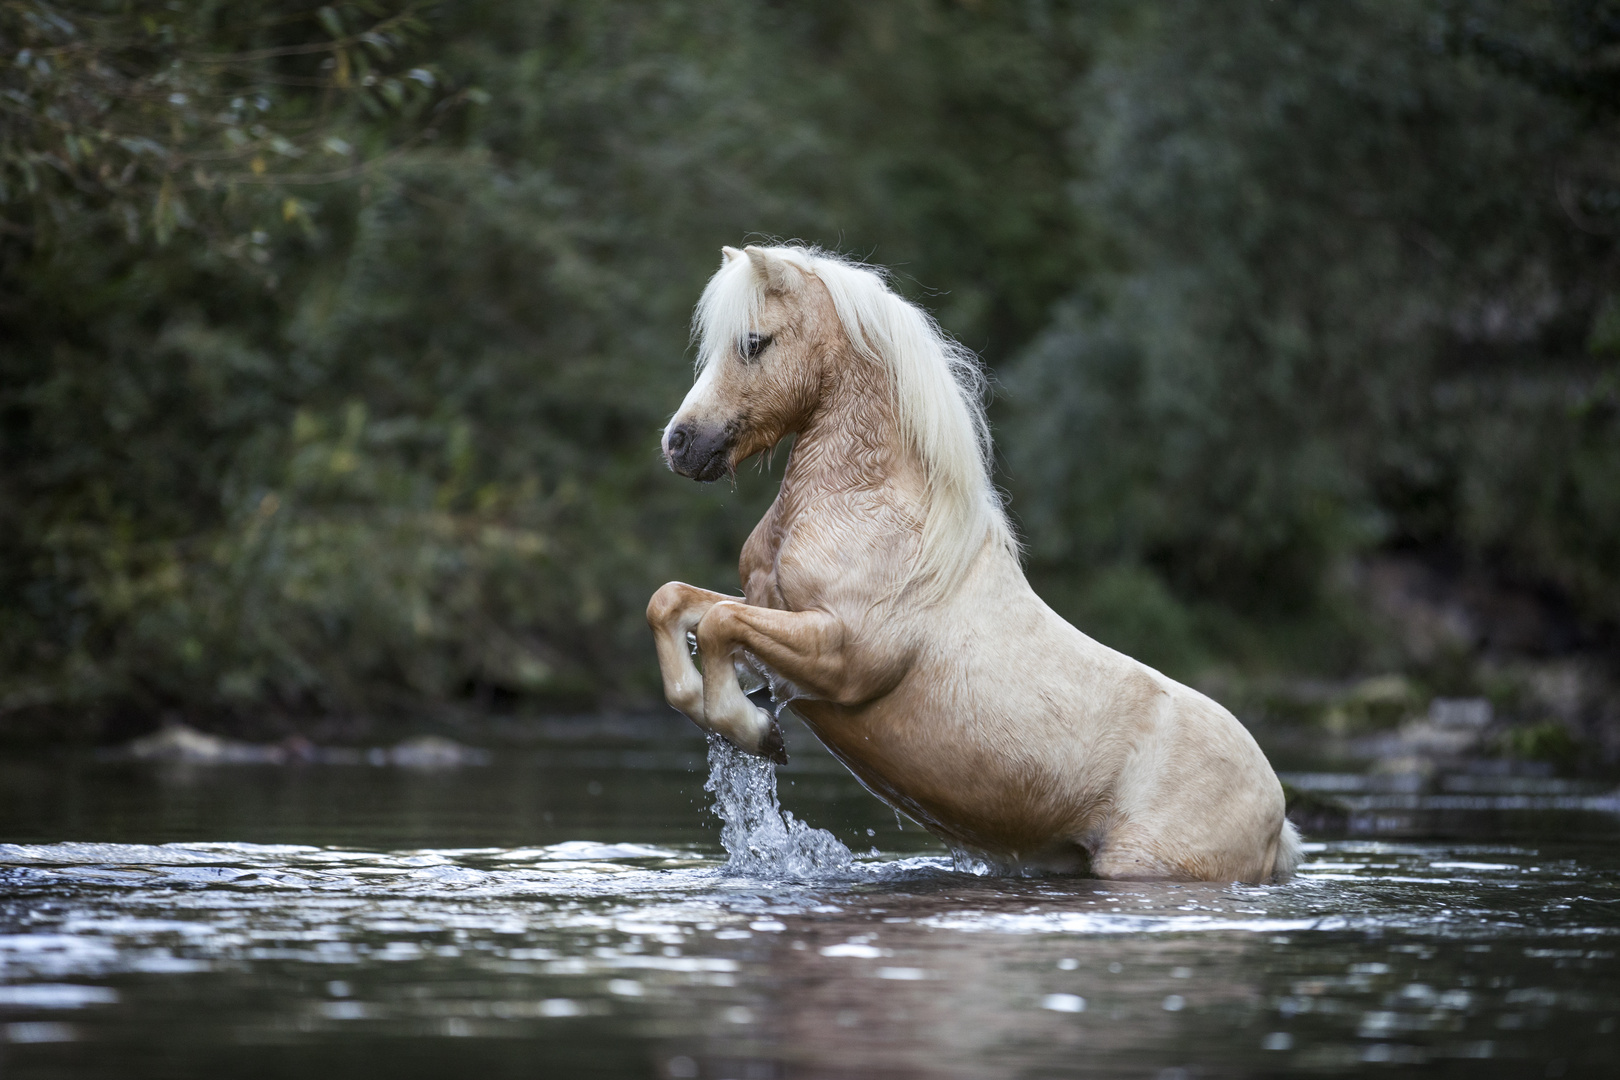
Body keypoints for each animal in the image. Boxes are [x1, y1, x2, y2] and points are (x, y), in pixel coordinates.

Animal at [648, 241, 1302, 880]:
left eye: (754, 342)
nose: (679, 444)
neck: (871, 510)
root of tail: (1278, 822)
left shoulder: (841, 657)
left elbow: (717, 624)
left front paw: (757, 735)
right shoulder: (770, 619)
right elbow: (673, 604)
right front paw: (733, 719)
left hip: (1139, 869)